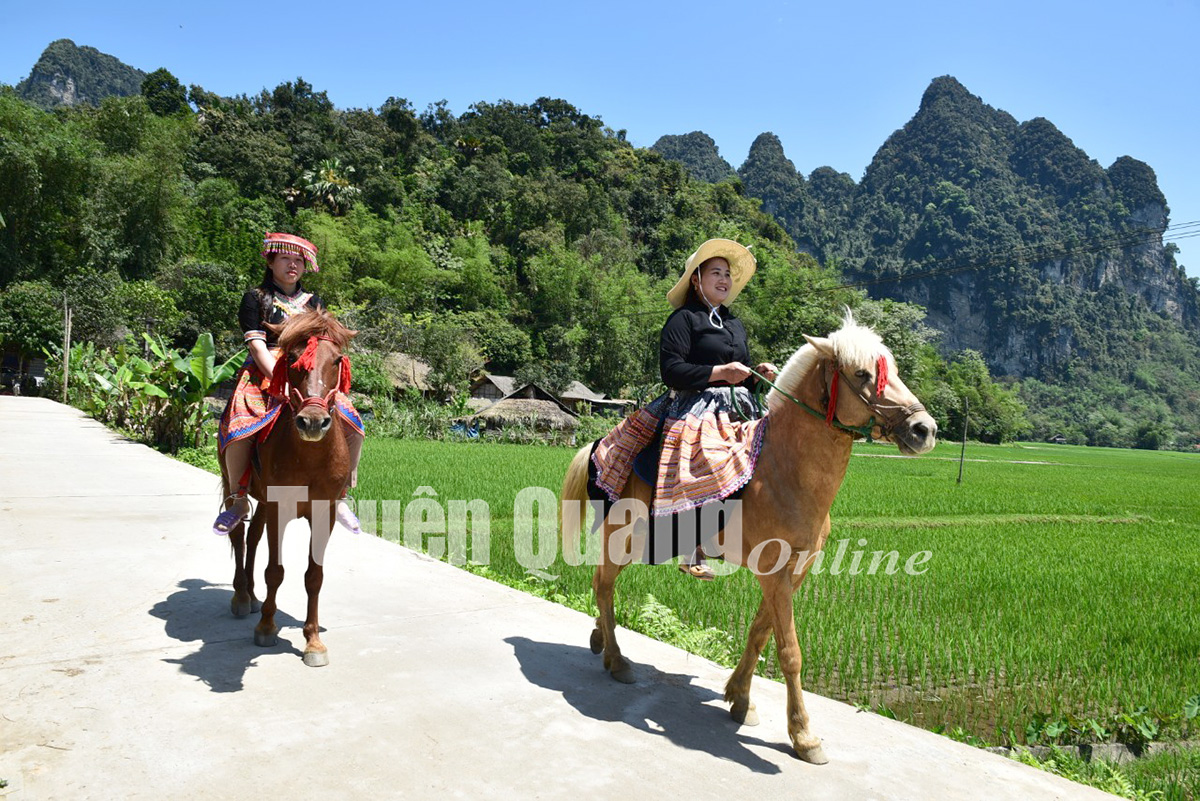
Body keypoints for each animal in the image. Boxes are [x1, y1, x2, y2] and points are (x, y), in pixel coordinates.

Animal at [219, 309, 352, 666]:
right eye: (292, 358)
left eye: (337, 360)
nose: (313, 421)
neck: (309, 458)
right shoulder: (280, 509)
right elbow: (275, 571)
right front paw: (266, 627)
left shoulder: (323, 513)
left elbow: (314, 576)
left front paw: (313, 642)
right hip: (231, 483)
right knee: (239, 533)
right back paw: (241, 597)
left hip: (265, 501)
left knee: (252, 537)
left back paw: (252, 595)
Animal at [559, 311, 936, 762]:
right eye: (863, 374)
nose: (924, 429)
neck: (784, 472)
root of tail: (598, 442)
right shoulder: (774, 572)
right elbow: (790, 652)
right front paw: (804, 735)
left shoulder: (792, 572)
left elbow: (760, 633)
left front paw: (740, 698)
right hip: (623, 538)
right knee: (603, 585)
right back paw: (617, 661)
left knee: (603, 587)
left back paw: (600, 640)